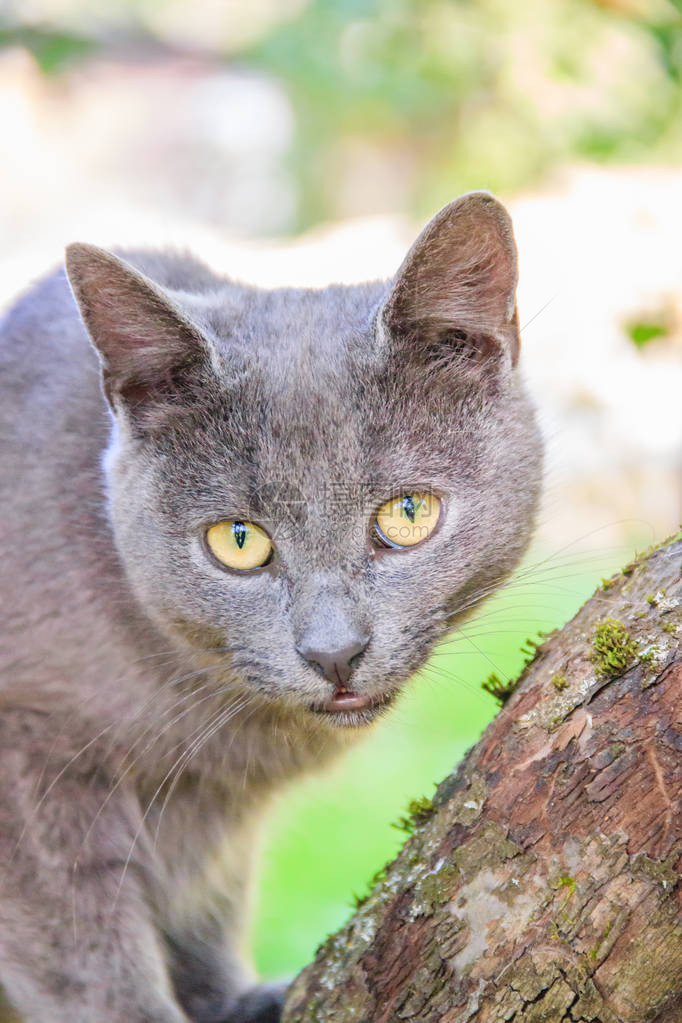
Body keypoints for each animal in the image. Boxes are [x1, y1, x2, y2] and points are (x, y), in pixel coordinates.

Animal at [0, 193, 543, 1023]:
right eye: (238, 541)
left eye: (408, 513)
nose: (334, 652)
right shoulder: (27, 757)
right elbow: (80, 942)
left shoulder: (211, 812)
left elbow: (204, 906)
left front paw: (235, 1000)